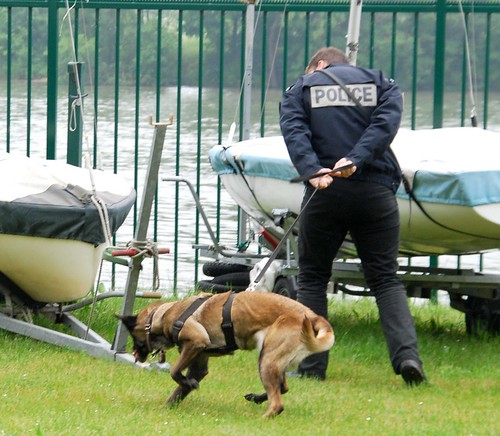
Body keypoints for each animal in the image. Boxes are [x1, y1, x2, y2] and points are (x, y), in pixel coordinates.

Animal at [118, 292, 334, 418]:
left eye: (133, 337)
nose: (134, 353)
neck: (164, 314)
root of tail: (312, 316)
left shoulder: (196, 341)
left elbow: (174, 372)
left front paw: (186, 385)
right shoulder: (198, 363)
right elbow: (180, 387)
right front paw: (169, 406)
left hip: (267, 359)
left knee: (278, 403)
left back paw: (263, 417)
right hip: (272, 359)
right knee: (283, 387)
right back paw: (257, 398)